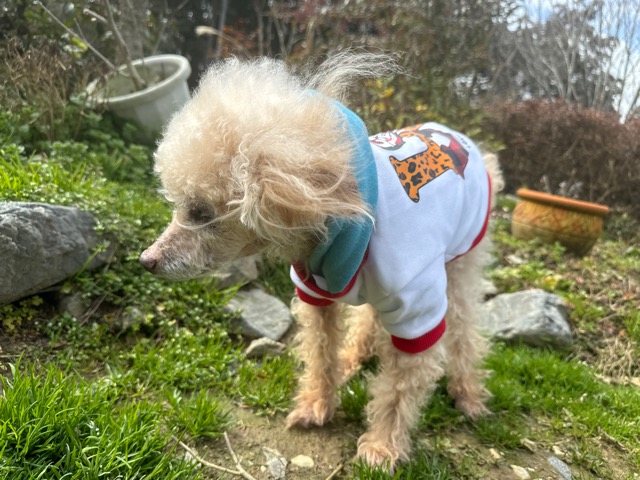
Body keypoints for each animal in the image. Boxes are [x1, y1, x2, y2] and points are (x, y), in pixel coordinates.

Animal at [140, 52, 504, 471]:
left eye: (200, 212)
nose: (146, 260)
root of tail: (466, 144)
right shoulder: (315, 294)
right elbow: (319, 351)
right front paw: (316, 405)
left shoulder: (416, 303)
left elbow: (400, 387)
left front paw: (382, 447)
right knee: (371, 316)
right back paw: (354, 356)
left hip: (461, 259)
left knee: (464, 328)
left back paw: (469, 393)